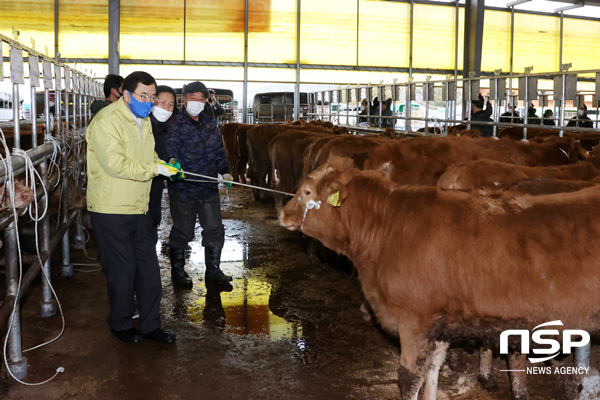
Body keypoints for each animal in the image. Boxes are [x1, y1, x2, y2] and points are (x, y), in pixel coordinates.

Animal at [282, 157, 600, 400]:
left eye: (307, 191)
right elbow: (432, 370)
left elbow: (410, 378)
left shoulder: (415, 321)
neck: (386, 229)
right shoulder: (440, 322)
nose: (284, 213)